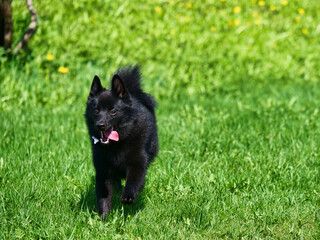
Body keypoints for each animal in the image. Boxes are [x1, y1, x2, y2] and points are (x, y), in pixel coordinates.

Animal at [84, 65, 158, 219]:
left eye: (113, 111)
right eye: (96, 111)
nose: (100, 125)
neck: (116, 146)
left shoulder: (137, 164)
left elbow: (133, 181)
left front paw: (128, 196)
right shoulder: (103, 170)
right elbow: (104, 195)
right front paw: (104, 217)